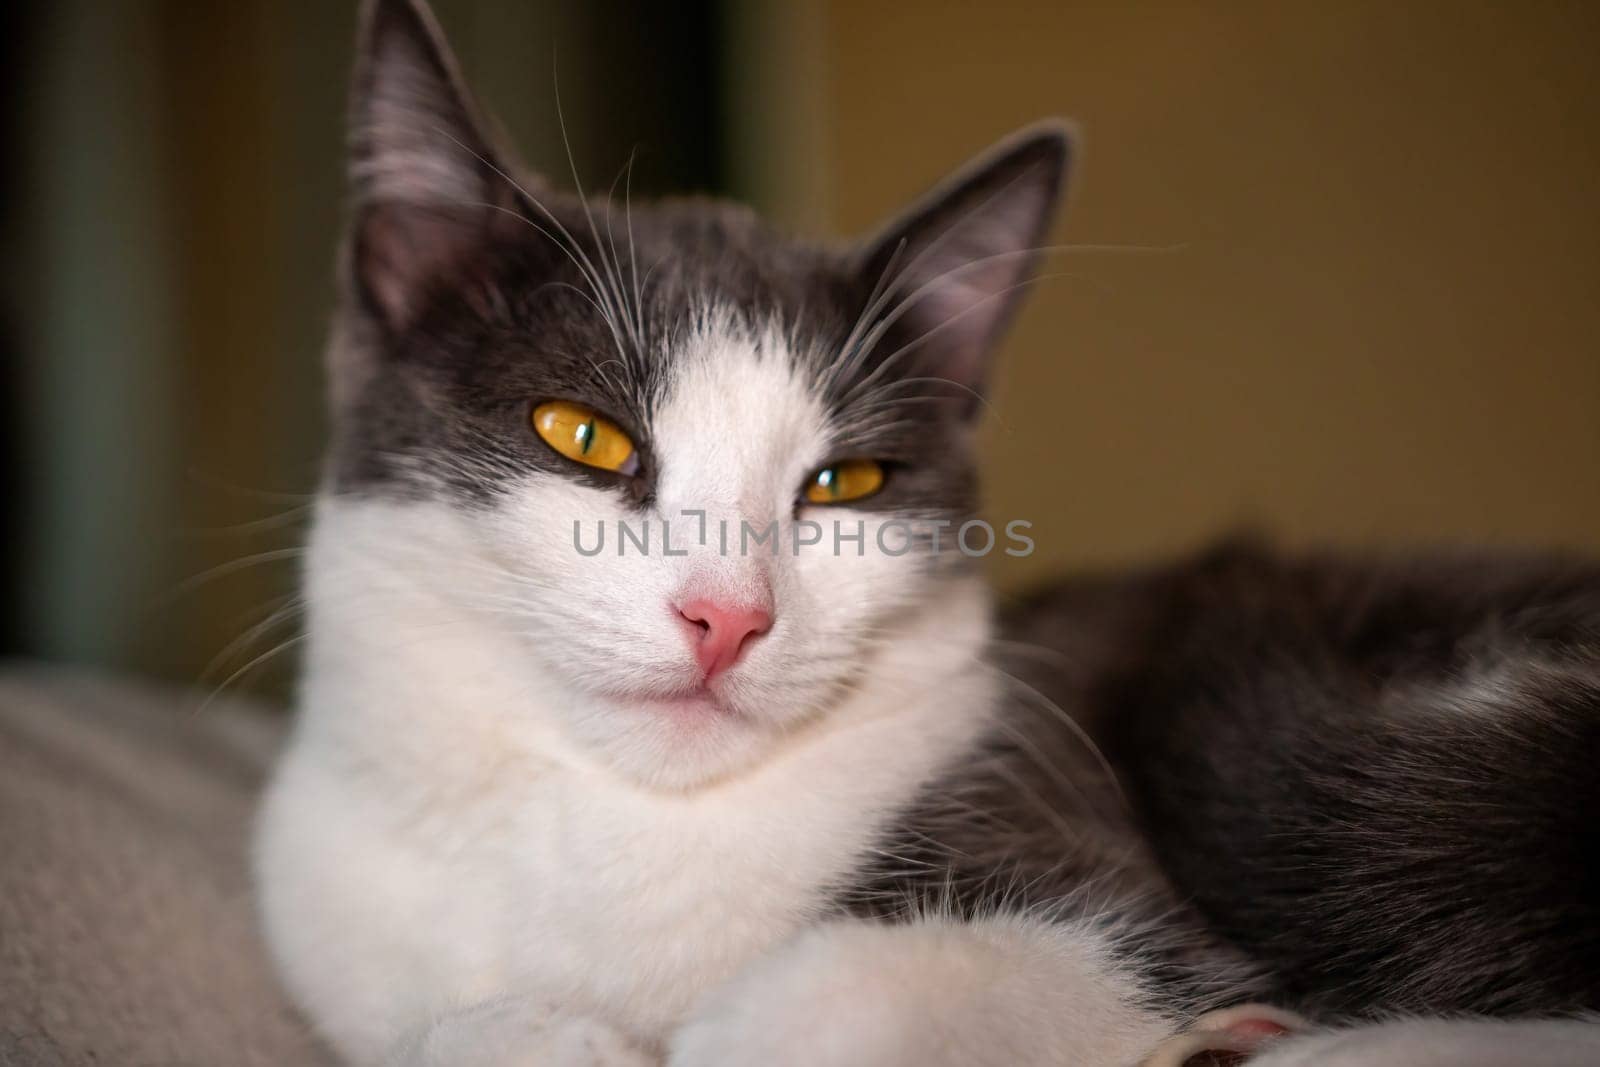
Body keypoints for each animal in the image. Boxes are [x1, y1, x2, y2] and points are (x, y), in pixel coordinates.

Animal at [249, 4, 1600, 1062]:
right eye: (582, 434)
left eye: (845, 481)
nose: (726, 614)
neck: (611, 820)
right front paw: (537, 1032)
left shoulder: (1108, 885)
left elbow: (866, 993)